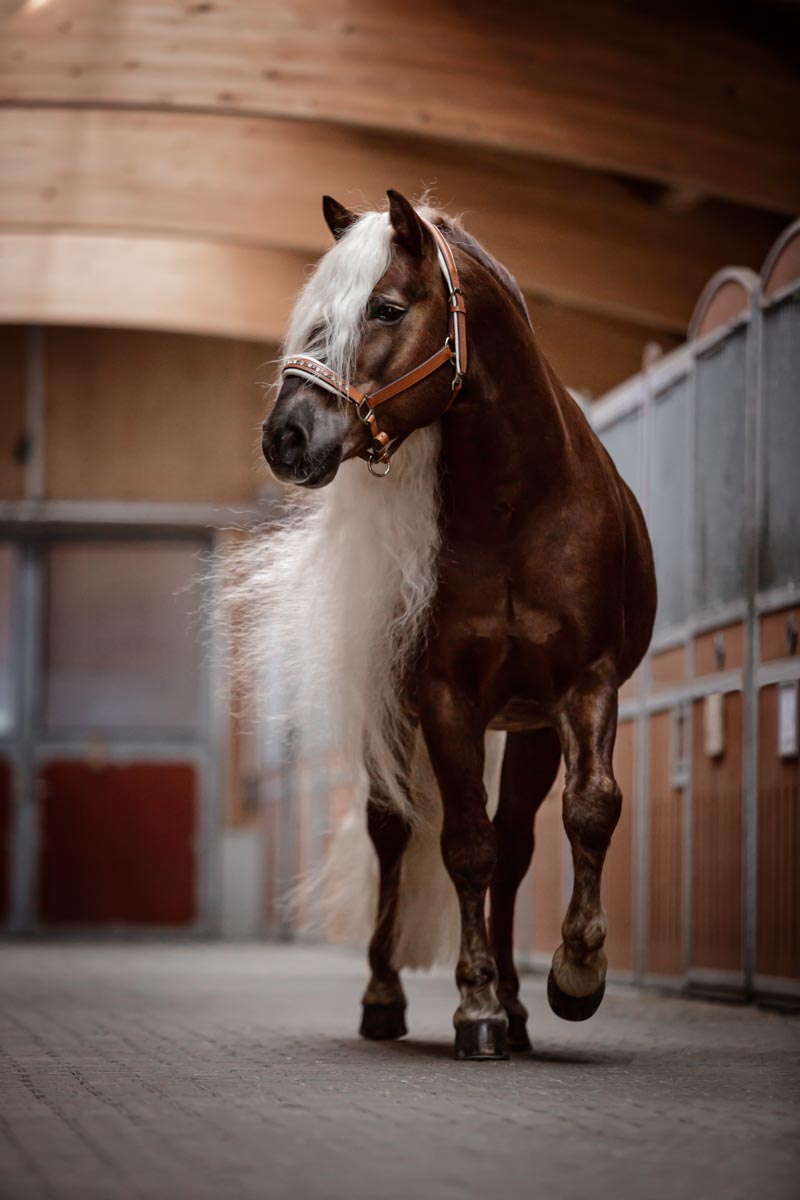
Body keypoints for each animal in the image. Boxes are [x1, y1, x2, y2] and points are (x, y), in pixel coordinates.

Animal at [257, 192, 657, 1065]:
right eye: (317, 314)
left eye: (386, 308)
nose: (284, 437)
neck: (517, 508)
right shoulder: (445, 699)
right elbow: (464, 845)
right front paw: (473, 1008)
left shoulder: (583, 684)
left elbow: (588, 811)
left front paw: (575, 977)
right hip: (395, 721)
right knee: (395, 834)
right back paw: (386, 999)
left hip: (532, 729)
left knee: (517, 848)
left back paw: (520, 1008)